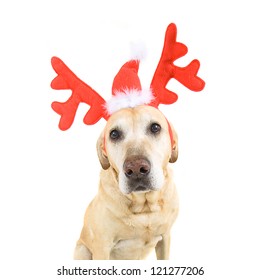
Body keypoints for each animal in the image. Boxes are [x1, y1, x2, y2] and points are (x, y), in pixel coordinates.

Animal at [73, 105, 179, 260]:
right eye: (114, 134)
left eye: (155, 127)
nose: (136, 168)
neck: (144, 207)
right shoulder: (102, 248)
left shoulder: (165, 237)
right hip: (82, 249)